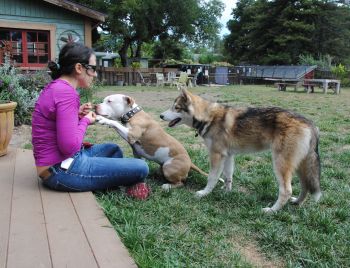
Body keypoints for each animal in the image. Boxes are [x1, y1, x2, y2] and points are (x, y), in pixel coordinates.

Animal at [160, 89, 322, 213]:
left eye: (176, 107)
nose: (161, 115)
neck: (208, 117)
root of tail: (310, 123)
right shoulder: (228, 156)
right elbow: (228, 177)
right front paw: (226, 192)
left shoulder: (216, 155)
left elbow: (212, 178)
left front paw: (204, 193)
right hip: (299, 166)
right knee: (305, 186)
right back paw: (296, 203)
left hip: (280, 165)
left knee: (287, 191)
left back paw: (271, 210)